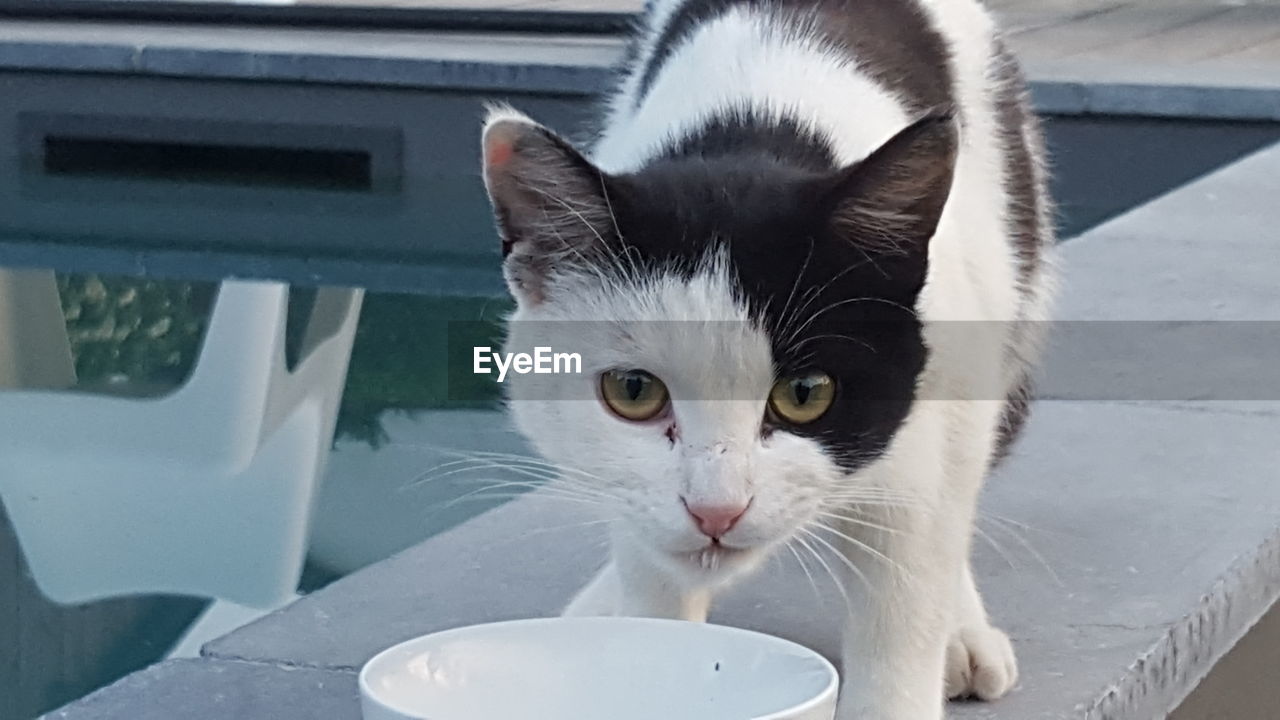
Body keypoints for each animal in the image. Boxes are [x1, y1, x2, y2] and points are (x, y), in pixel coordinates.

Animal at [478, 0, 1049, 707]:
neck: (754, 127)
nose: (715, 510)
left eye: (806, 394)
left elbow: (912, 571)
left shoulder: (936, 416)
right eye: (633, 391)